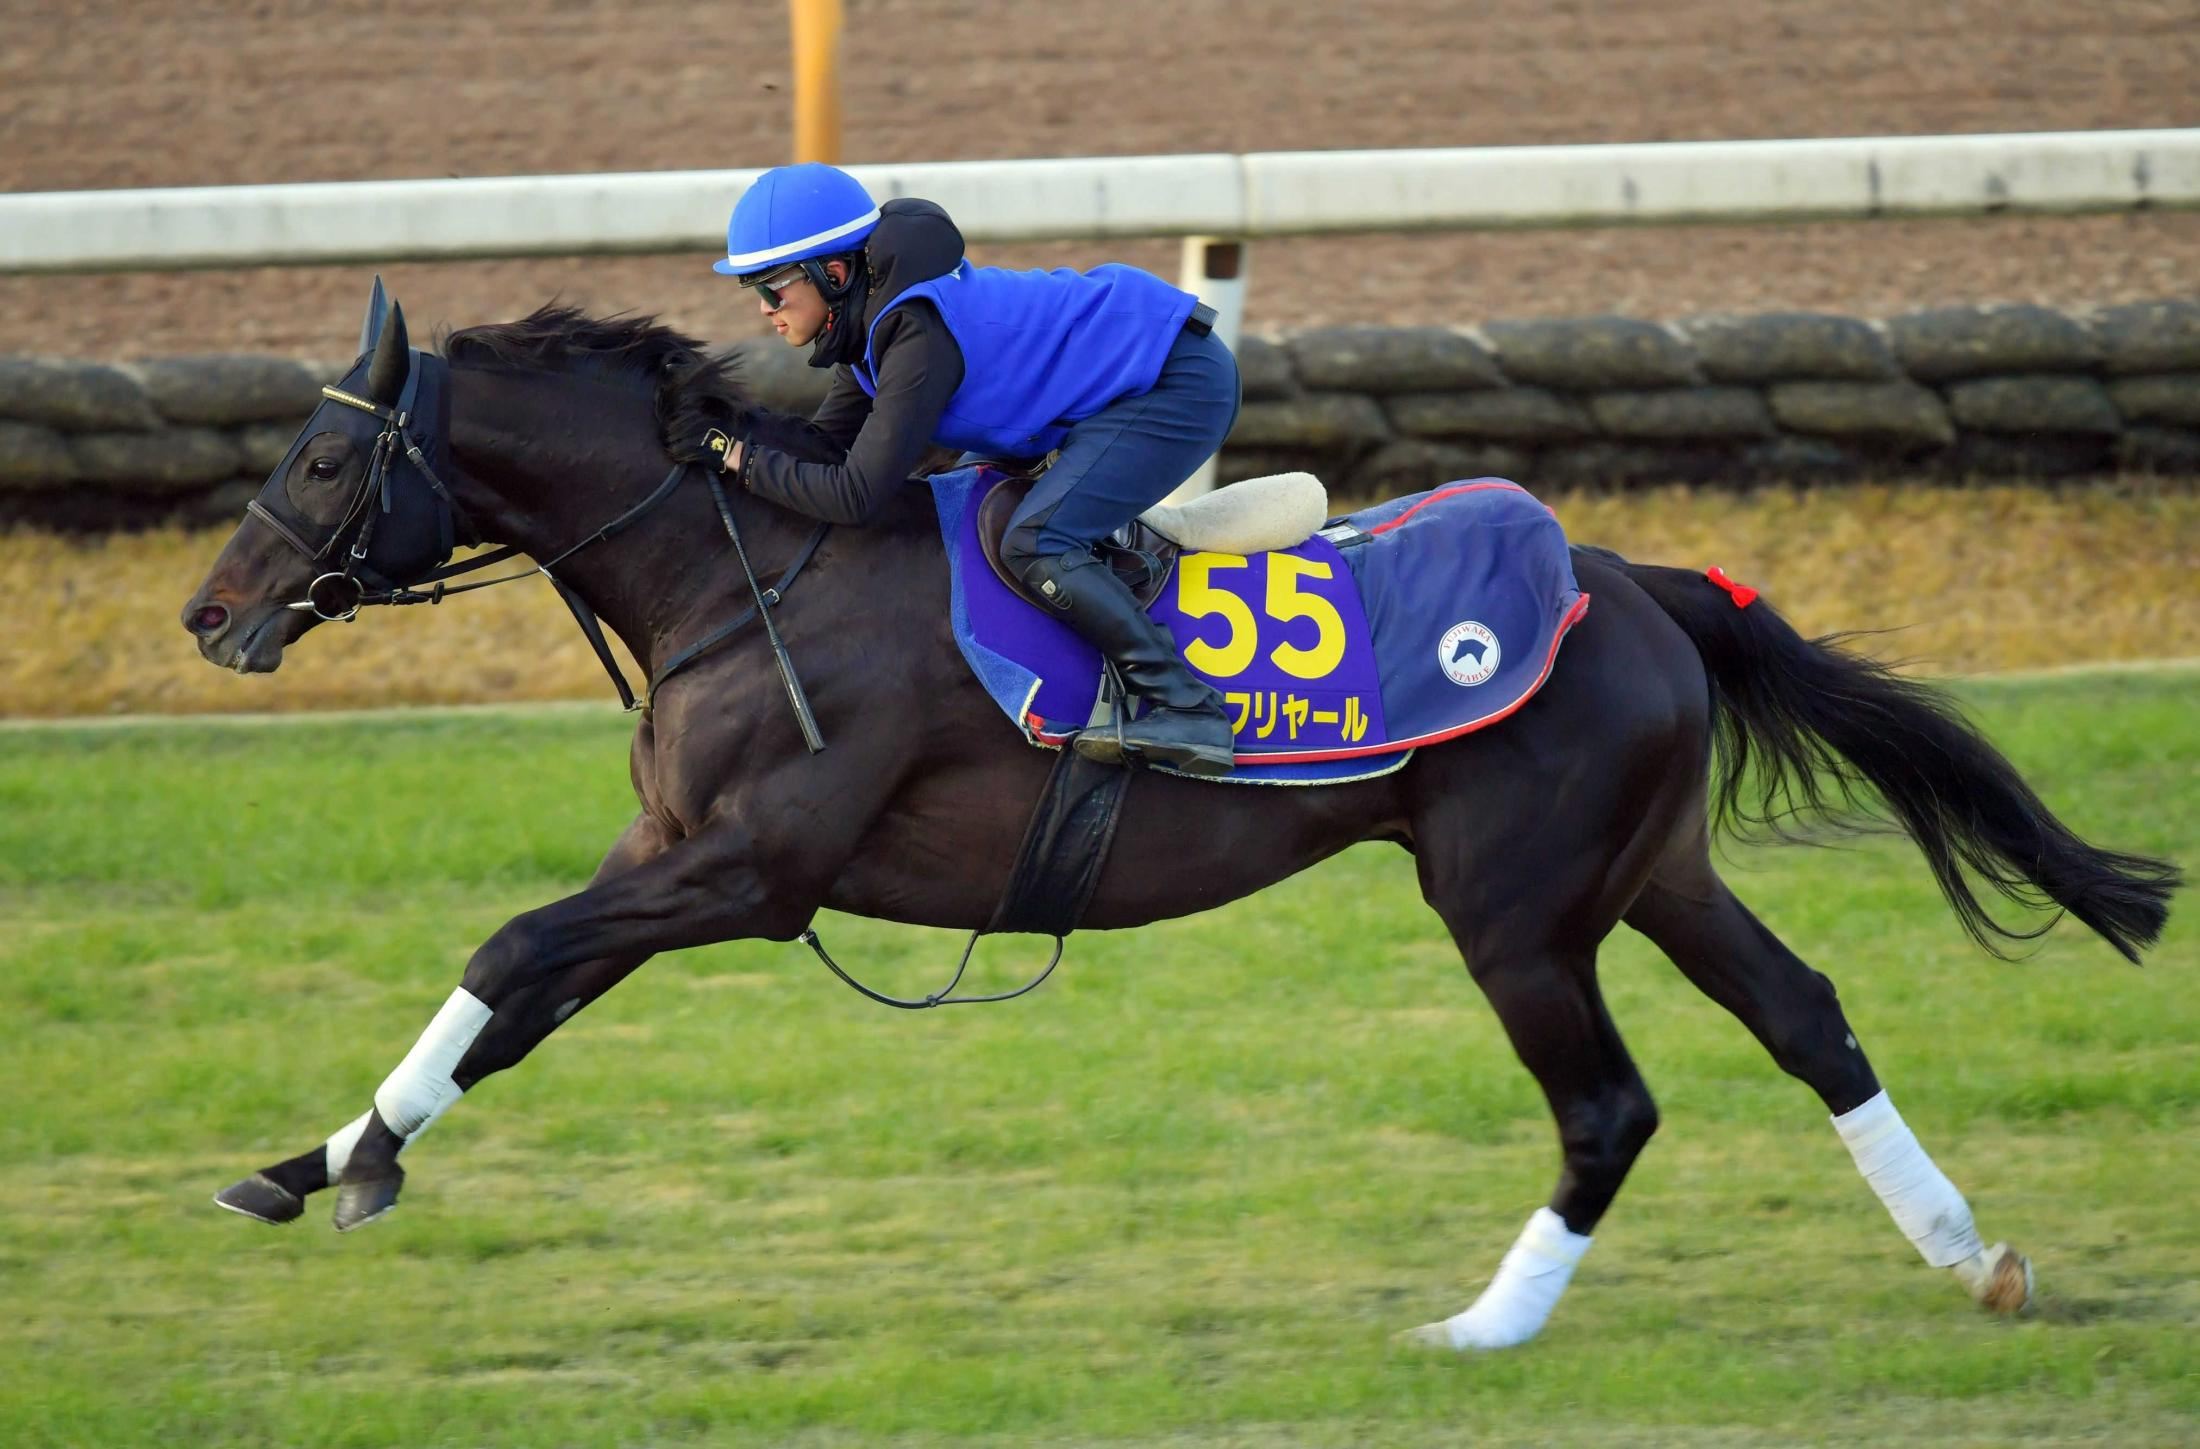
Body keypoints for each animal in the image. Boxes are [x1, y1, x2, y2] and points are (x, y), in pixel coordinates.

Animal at [180, 288, 2173, 1354]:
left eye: (322, 455)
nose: (209, 612)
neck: (747, 564)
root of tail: (1641, 582)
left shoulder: (751, 870)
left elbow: (510, 947)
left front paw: (351, 1164)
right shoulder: (671, 859)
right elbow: (510, 1008)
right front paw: (316, 1159)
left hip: (1517, 906)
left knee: (1610, 1103)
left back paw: (1482, 1326)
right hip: (1650, 869)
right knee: (1810, 1017)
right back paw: (1973, 1254)